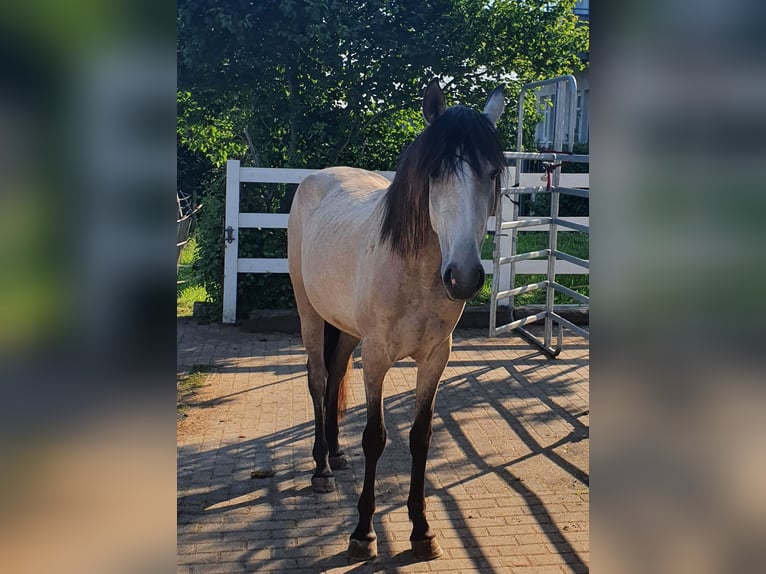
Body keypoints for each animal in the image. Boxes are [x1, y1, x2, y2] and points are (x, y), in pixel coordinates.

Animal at [286, 79, 504, 564]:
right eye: (436, 174)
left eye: (494, 173)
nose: (463, 276)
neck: (415, 272)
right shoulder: (378, 357)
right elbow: (375, 436)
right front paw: (363, 533)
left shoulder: (435, 359)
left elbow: (420, 436)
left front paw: (422, 530)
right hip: (310, 313)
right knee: (317, 379)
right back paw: (322, 468)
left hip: (347, 331)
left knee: (334, 377)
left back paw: (336, 454)